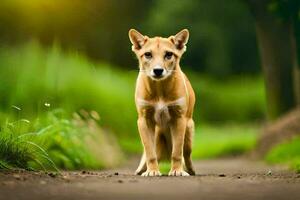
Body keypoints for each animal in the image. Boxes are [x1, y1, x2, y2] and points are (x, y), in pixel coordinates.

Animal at [128, 28, 195, 177]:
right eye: (148, 54)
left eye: (169, 54)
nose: (158, 70)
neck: (159, 90)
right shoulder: (144, 120)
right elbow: (149, 152)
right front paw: (152, 171)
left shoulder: (179, 119)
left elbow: (177, 152)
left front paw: (177, 171)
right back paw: (141, 169)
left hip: (188, 131)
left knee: (186, 155)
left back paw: (189, 170)